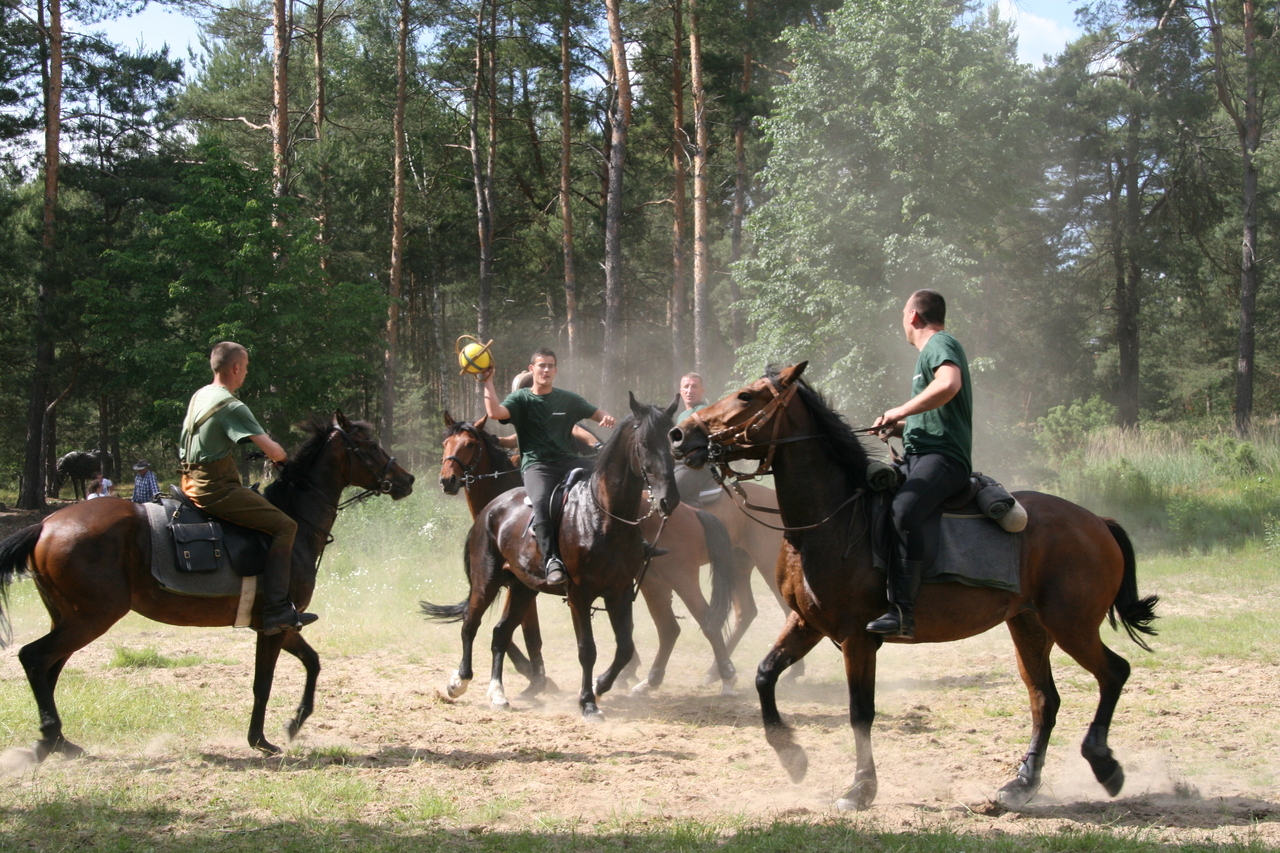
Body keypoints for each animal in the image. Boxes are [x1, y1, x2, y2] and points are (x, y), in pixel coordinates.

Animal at [0, 412, 414, 758]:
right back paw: (51, 737)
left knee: (49, 668)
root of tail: (45, 525)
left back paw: (58, 741)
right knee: (35, 659)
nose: (407, 480)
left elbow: (312, 663)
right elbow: (263, 683)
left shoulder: (279, 625)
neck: (295, 521)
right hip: (89, 619)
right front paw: (260, 740)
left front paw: (294, 723)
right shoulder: (273, 625)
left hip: (70, 620)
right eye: (370, 446)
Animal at [427, 394, 732, 717]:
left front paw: (593, 687)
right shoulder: (578, 594)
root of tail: (491, 511)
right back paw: (463, 682)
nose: (447, 480)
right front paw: (583, 697)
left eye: (470, 444)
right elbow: (584, 648)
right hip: (491, 581)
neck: (602, 515)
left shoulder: (618, 591)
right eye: (645, 443)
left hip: (664, 579)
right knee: (472, 624)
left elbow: (623, 647)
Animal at [670, 361, 1162, 809]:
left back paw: (1103, 763)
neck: (832, 520)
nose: (679, 436)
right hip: (1029, 626)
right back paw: (1022, 784)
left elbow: (860, 713)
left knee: (1114, 672)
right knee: (1045, 699)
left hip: (1071, 625)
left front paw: (860, 789)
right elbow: (765, 675)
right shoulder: (807, 623)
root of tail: (1096, 521)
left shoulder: (856, 638)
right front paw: (793, 757)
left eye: (747, 396)